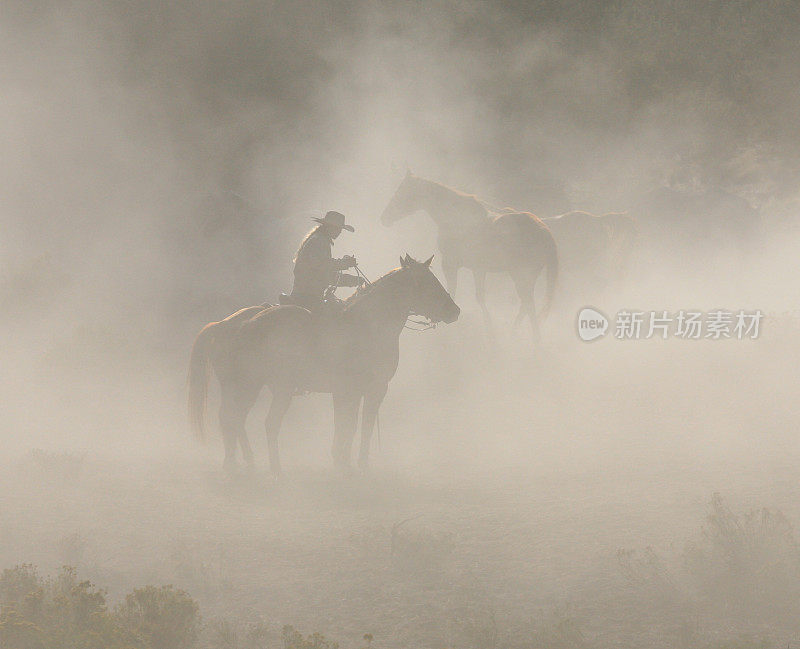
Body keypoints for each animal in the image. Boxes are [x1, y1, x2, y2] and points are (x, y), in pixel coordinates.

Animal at [187, 254, 460, 476]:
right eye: (426, 282)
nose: (454, 310)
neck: (367, 325)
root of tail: (234, 324)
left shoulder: (347, 392)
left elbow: (346, 424)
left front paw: (342, 460)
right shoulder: (370, 389)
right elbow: (358, 426)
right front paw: (356, 464)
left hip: (247, 388)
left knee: (233, 419)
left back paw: (239, 462)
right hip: (264, 388)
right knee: (258, 421)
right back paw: (271, 467)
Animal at [380, 170, 556, 342]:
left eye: (402, 192)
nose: (384, 217)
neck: (456, 220)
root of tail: (544, 230)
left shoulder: (452, 265)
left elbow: (456, 291)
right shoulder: (477, 269)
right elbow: (478, 297)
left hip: (521, 274)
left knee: (528, 303)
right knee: (526, 303)